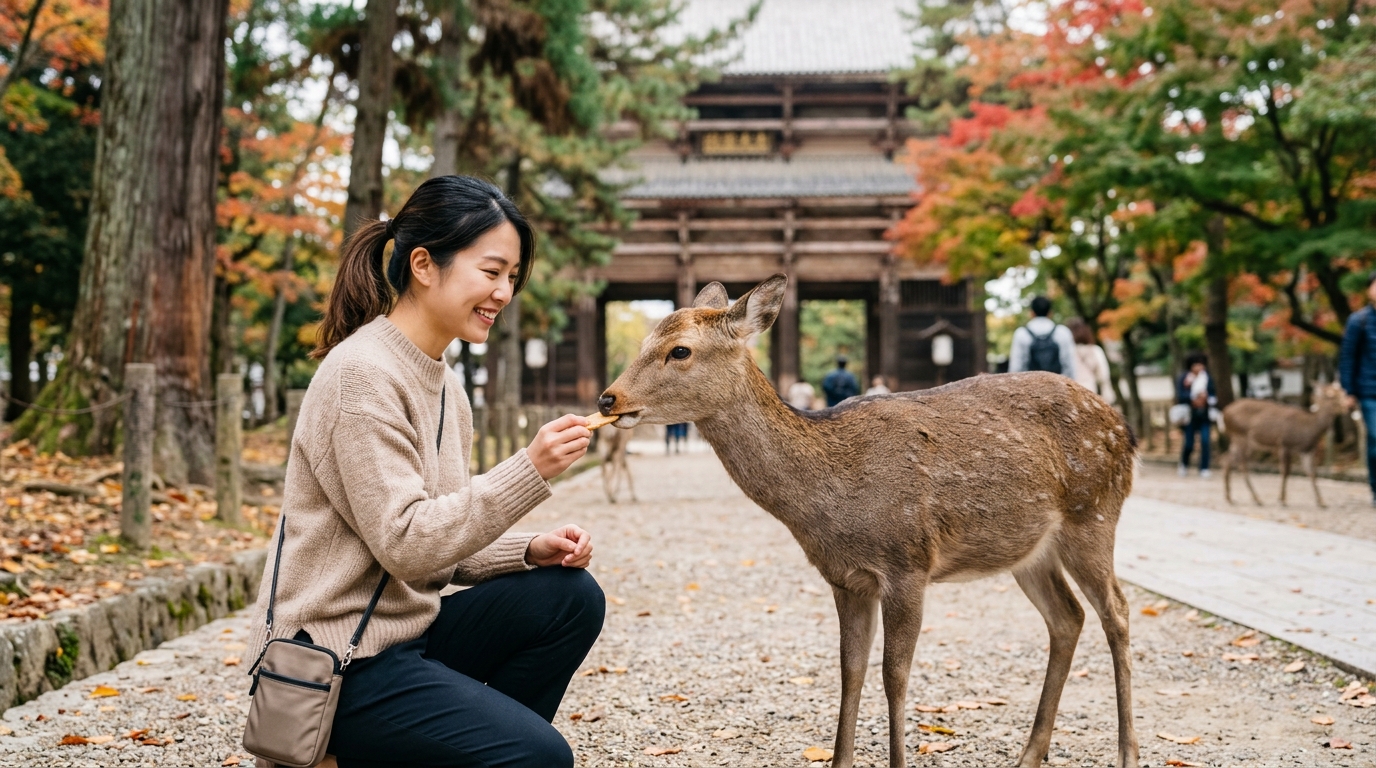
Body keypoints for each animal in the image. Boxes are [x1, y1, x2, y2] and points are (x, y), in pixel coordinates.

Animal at [597, 276, 1140, 768]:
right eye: (644, 341)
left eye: (680, 351)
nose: (608, 399)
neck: (833, 500)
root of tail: (1124, 428)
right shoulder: (845, 578)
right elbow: (850, 669)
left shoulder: (908, 563)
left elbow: (893, 674)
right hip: (1028, 550)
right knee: (1067, 617)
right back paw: (1029, 754)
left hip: (1094, 514)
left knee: (1116, 610)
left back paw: (1127, 752)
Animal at [1222, 382, 1352, 508]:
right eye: (1330, 395)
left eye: (1342, 391)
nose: (1347, 405)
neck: (1310, 429)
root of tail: (1225, 412)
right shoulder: (1285, 443)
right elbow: (1286, 472)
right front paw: (1282, 499)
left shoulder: (1307, 450)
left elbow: (1312, 472)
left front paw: (1321, 502)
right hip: (1241, 436)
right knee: (1242, 465)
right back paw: (1257, 499)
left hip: (1242, 441)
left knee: (1228, 460)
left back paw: (1229, 497)